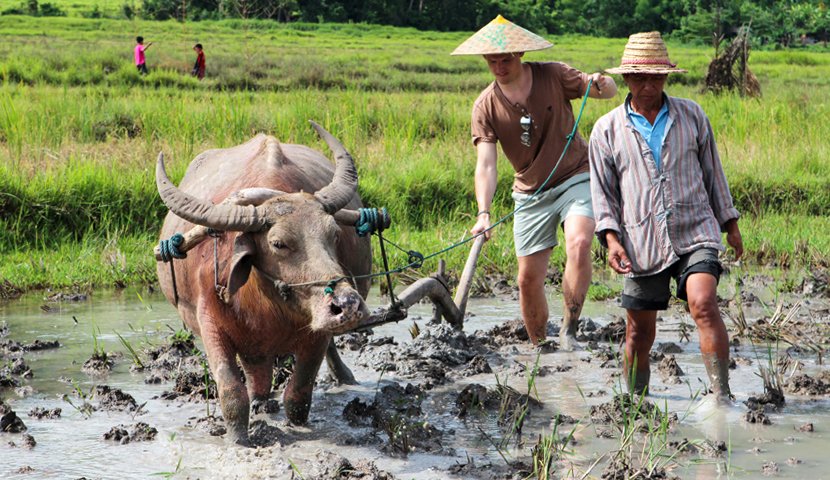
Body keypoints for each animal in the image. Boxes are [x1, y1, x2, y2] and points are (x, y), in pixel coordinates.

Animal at [155, 122, 374, 444]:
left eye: (334, 234)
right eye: (278, 243)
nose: (347, 305)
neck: (265, 302)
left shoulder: (315, 337)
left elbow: (298, 396)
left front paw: (297, 427)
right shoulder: (211, 326)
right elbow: (232, 394)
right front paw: (238, 440)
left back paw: (344, 377)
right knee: (256, 376)